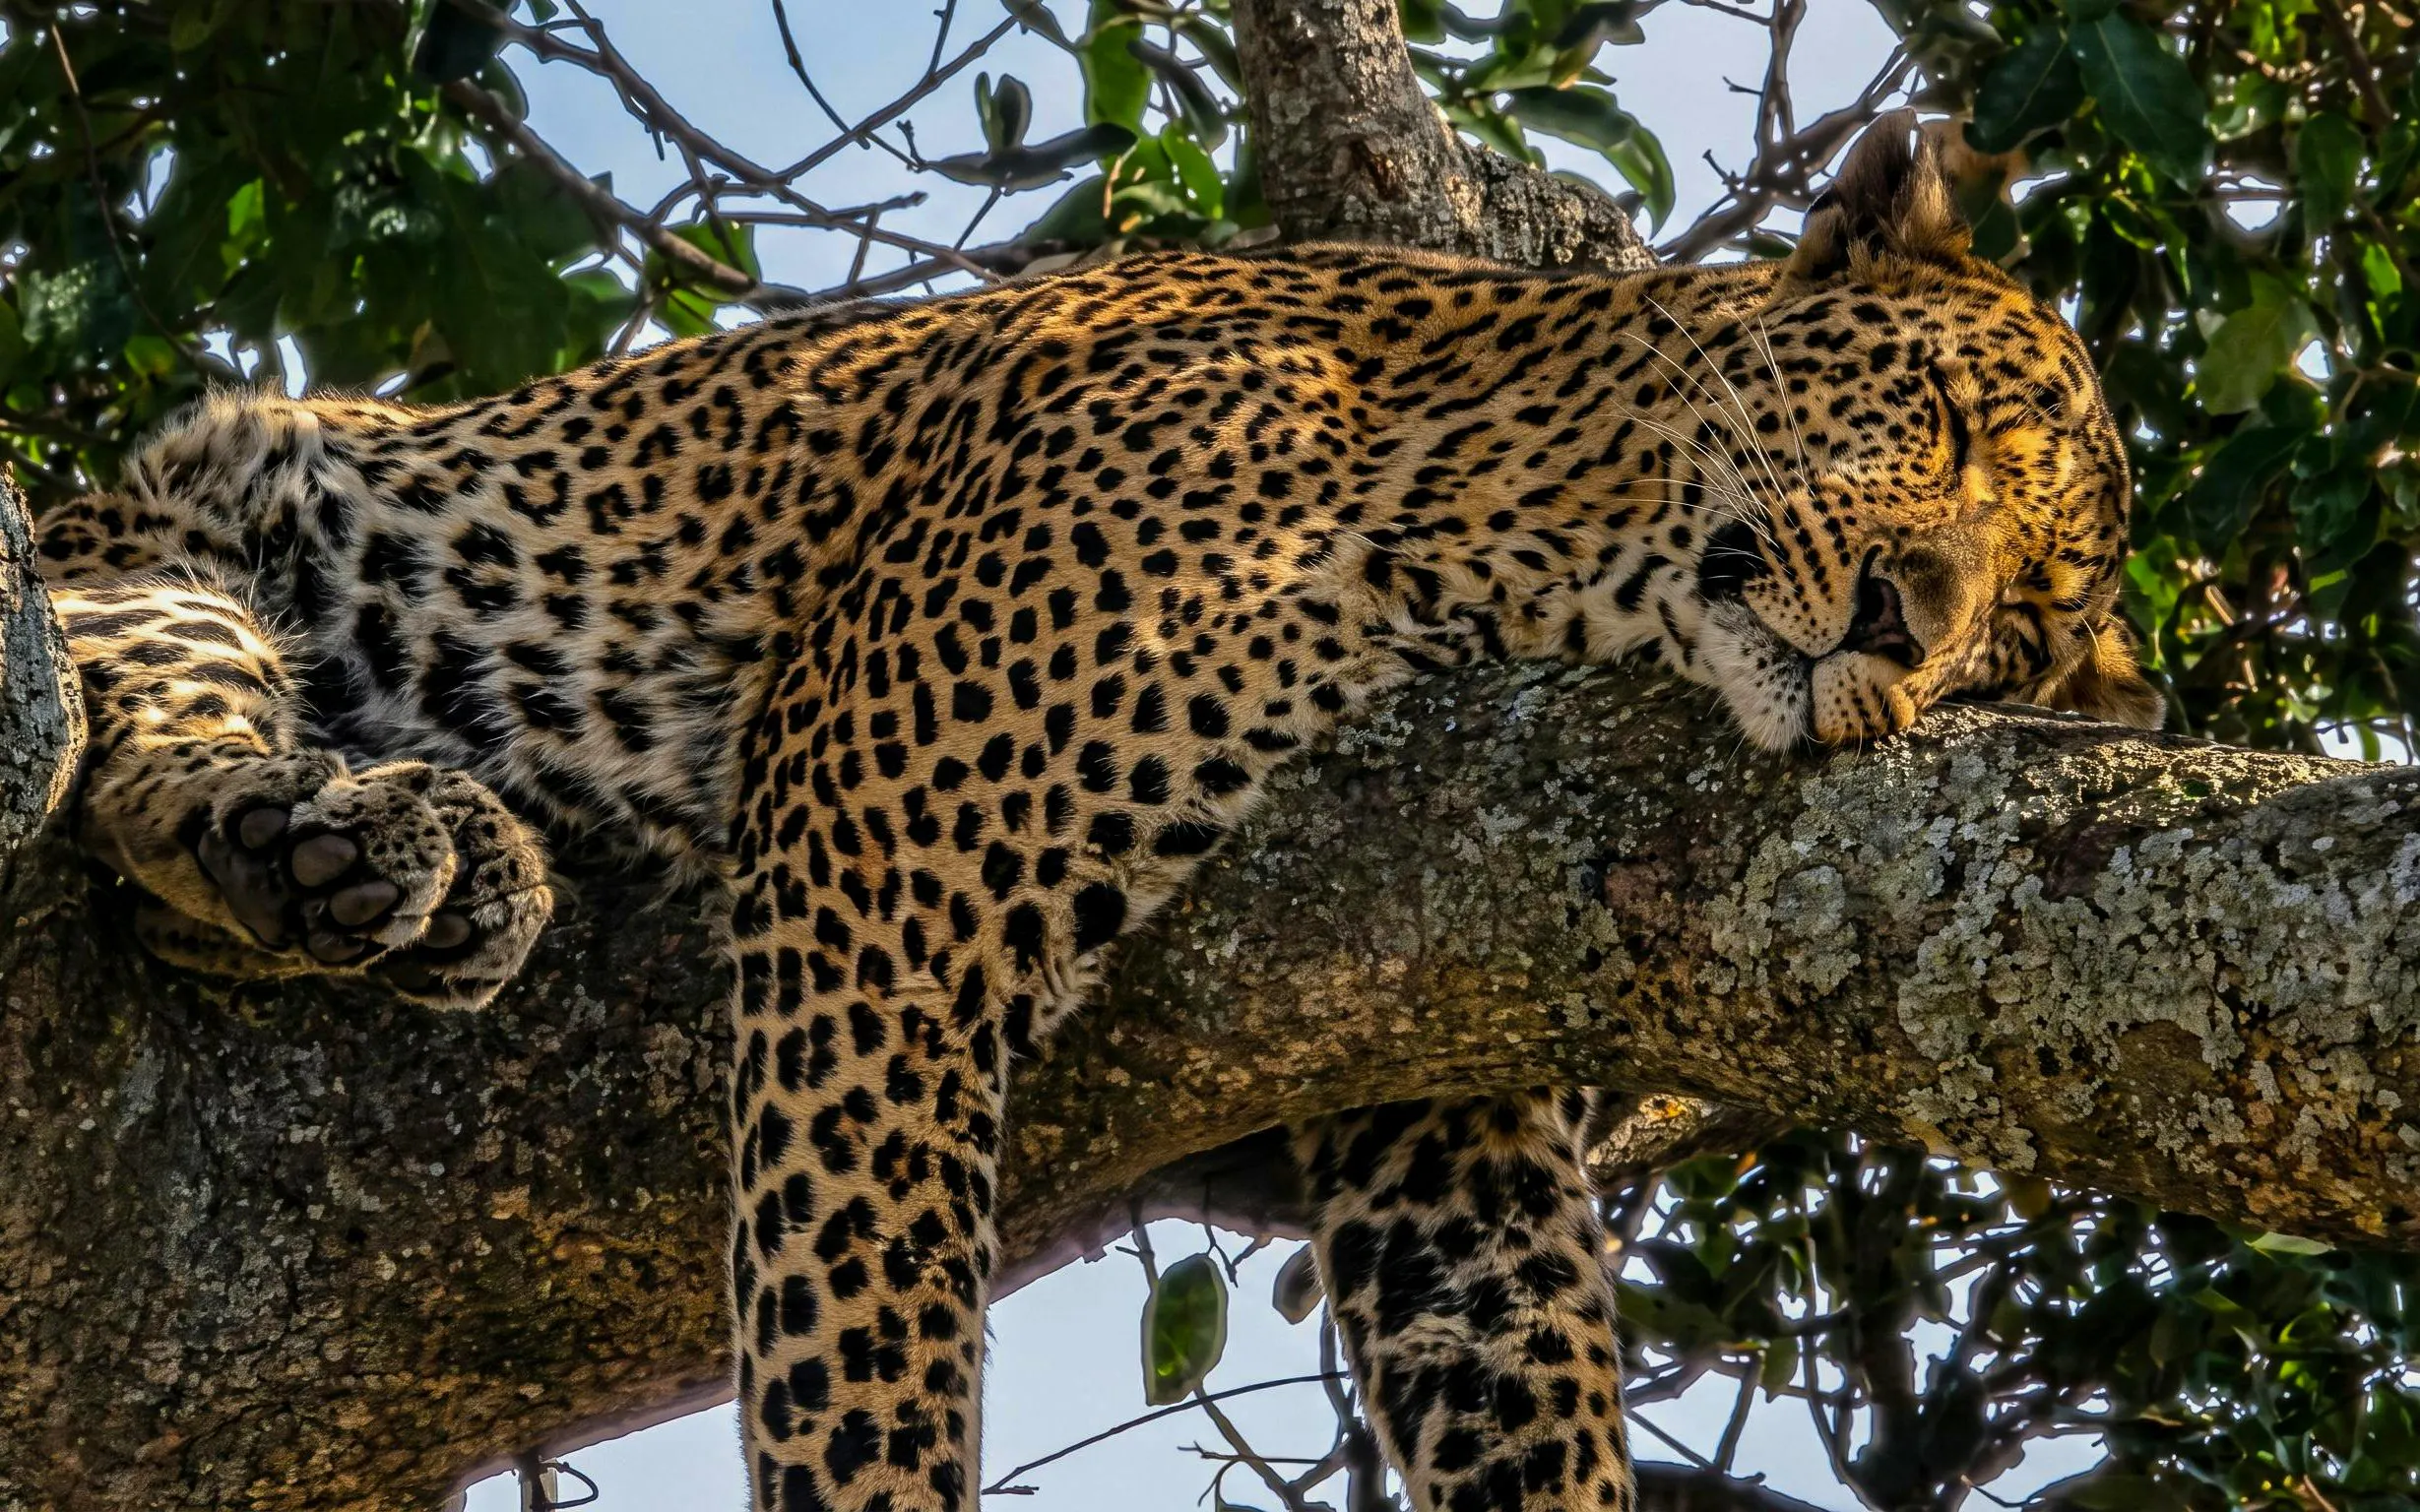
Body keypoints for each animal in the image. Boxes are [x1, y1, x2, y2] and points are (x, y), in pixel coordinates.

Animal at [31, 114, 2159, 1512]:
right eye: (1943, 427)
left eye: (2022, 628)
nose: (1907, 623)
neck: (1516, 560)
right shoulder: (872, 864)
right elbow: (863, 1343)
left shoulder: (1421, 1051)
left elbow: (1523, 1367)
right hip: (192, 527)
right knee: (134, 751)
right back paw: (345, 841)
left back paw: (391, 862)